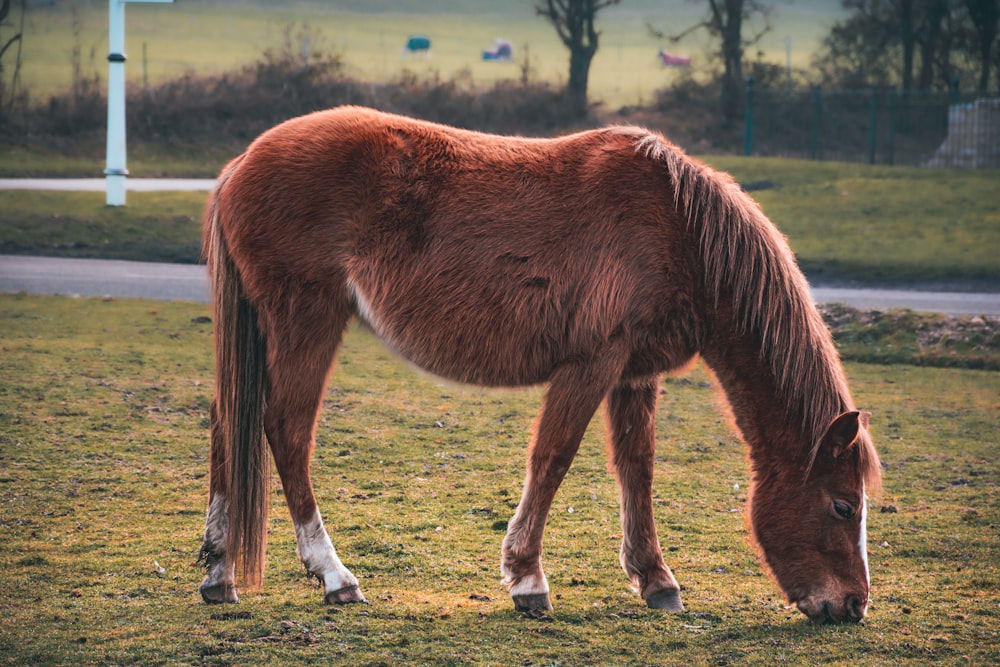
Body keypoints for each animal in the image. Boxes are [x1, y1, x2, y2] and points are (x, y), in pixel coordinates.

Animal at [197, 104, 884, 620]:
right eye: (843, 506)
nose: (854, 606)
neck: (678, 231)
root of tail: (238, 167)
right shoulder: (591, 363)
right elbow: (553, 459)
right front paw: (527, 579)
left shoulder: (634, 373)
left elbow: (637, 469)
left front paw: (656, 579)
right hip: (307, 320)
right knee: (285, 430)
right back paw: (334, 575)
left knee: (228, 425)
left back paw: (218, 573)